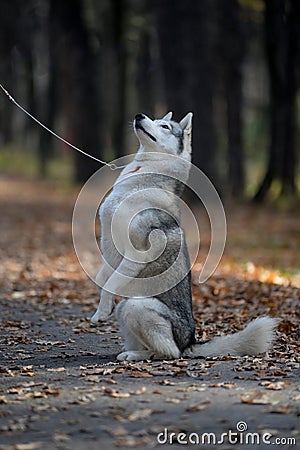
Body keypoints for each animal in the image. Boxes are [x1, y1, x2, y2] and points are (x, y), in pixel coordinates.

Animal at [90, 112, 278, 362]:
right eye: (154, 119)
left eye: (165, 126)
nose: (139, 115)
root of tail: (190, 342)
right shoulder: (110, 248)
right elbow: (104, 277)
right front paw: (102, 303)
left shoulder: (138, 252)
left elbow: (111, 283)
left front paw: (102, 311)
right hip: (126, 309)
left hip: (137, 307)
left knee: (170, 352)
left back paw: (137, 355)